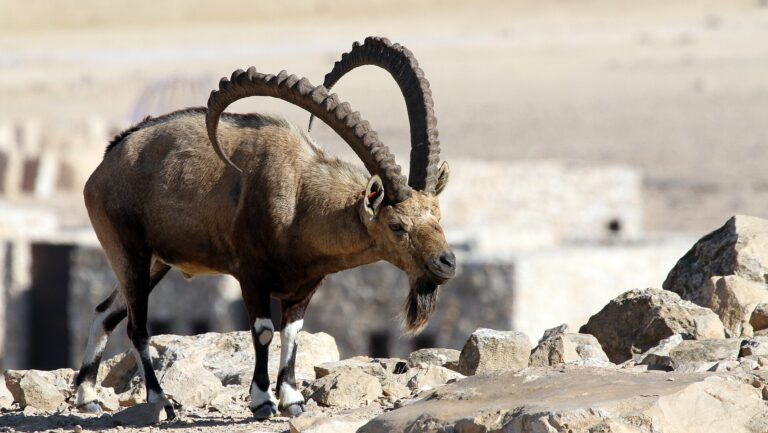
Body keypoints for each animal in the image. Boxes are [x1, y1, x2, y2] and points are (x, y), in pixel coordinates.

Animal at [73, 37, 456, 420]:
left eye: (437, 214)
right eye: (396, 225)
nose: (447, 263)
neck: (300, 200)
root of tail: (102, 169)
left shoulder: (304, 286)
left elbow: (293, 334)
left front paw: (292, 399)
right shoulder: (251, 276)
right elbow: (264, 333)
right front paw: (262, 401)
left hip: (155, 263)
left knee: (105, 313)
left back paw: (87, 396)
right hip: (128, 252)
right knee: (136, 327)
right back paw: (159, 400)